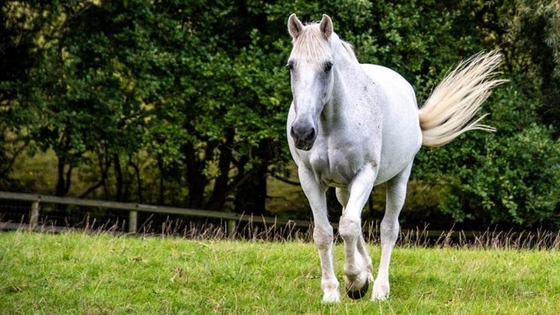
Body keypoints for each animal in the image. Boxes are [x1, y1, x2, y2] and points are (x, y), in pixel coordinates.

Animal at [286, 13, 506, 302]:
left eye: (327, 66)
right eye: (291, 66)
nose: (302, 132)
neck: (331, 123)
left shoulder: (366, 173)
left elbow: (349, 227)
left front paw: (355, 282)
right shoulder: (309, 177)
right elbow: (324, 233)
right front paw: (332, 291)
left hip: (399, 180)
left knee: (387, 229)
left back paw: (379, 288)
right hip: (344, 188)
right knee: (349, 215)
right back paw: (367, 271)